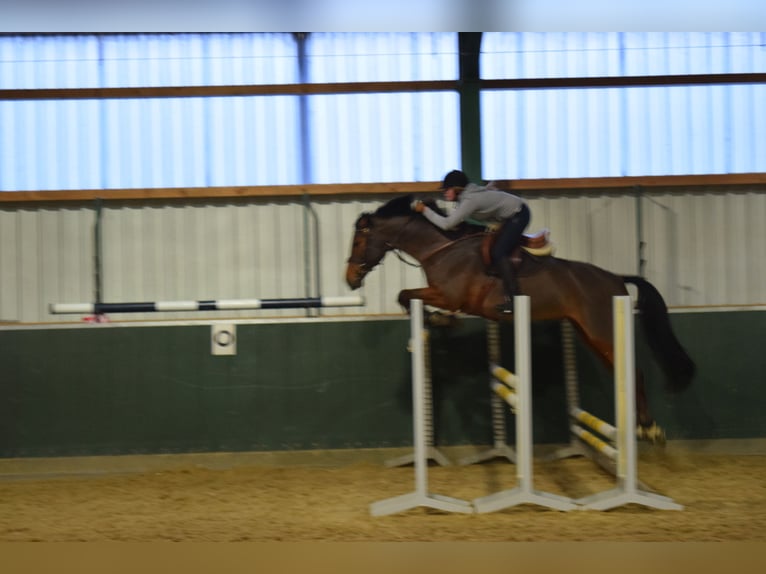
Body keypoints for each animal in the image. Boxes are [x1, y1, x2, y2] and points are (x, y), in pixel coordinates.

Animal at [346, 196, 696, 444]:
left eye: (359, 241)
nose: (349, 279)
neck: (443, 247)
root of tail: (616, 278)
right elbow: (406, 296)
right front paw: (435, 323)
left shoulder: (449, 296)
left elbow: (405, 294)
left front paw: (441, 322)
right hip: (589, 333)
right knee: (620, 371)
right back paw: (637, 425)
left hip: (602, 330)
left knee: (634, 371)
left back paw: (648, 429)